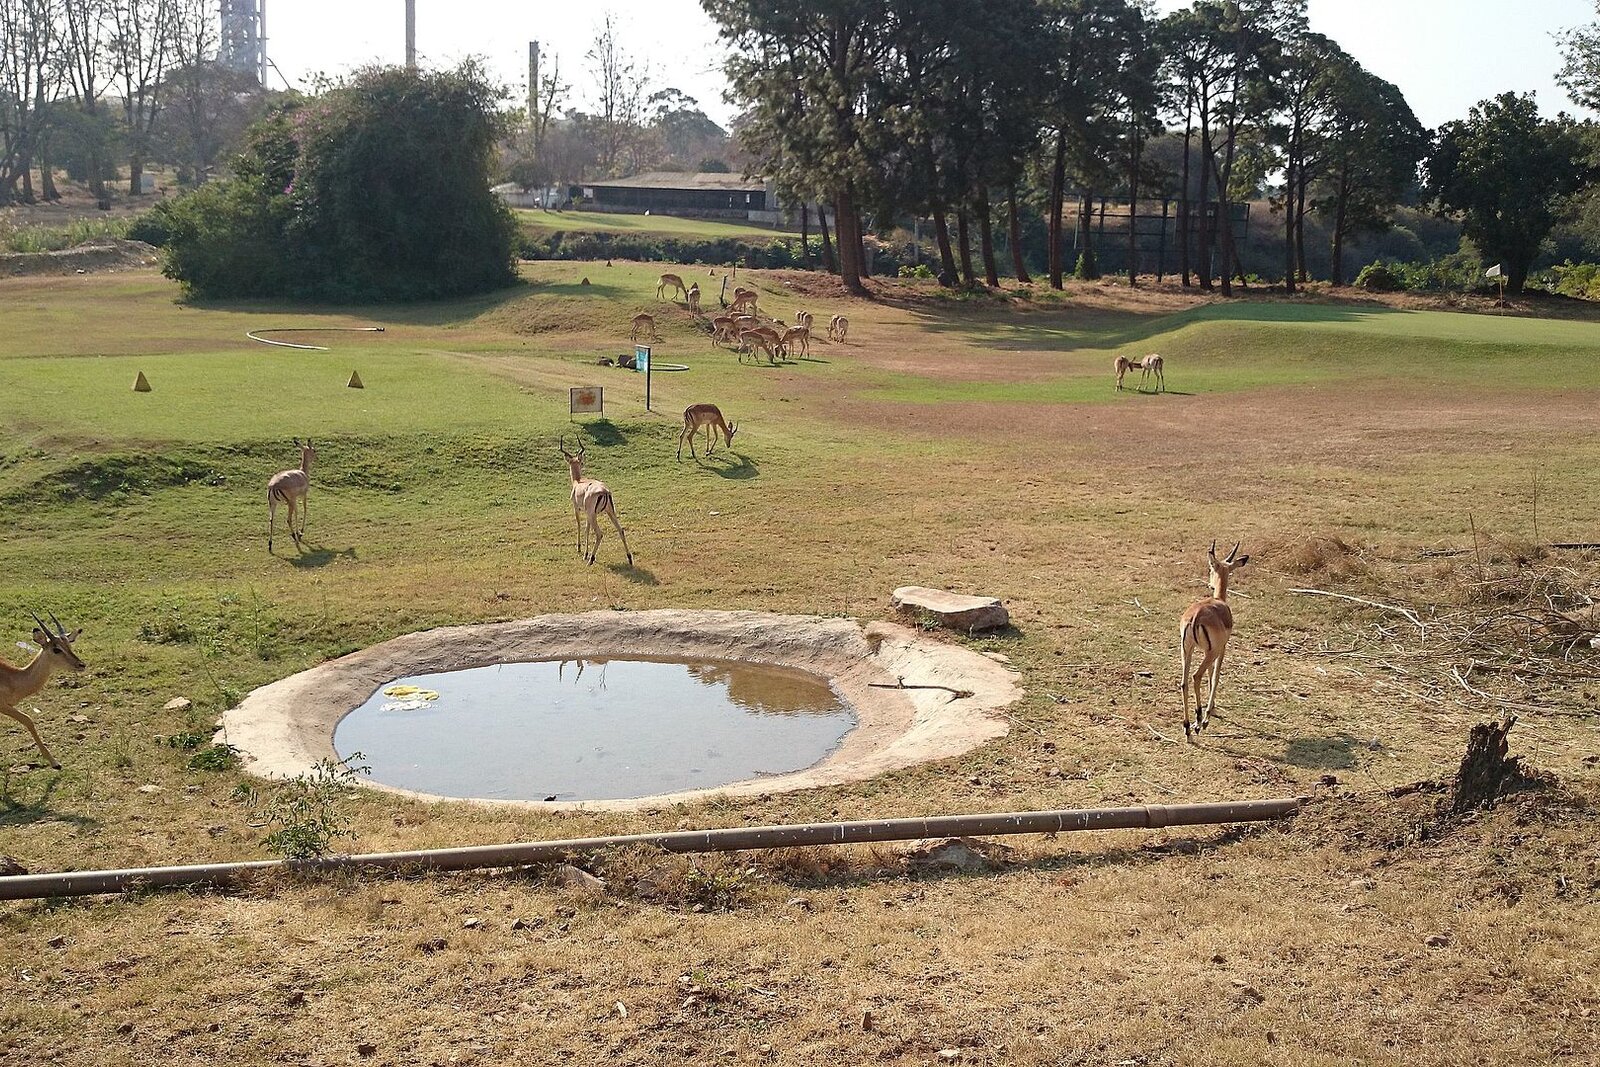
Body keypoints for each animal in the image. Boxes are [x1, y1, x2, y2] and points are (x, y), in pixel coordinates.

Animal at [1, 612, 84, 769]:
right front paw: (55, 762)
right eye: (56, 649)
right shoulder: (3, 706)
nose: (81, 664)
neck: (13, 678)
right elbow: (28, 720)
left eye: (68, 644)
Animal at [559, 437, 634, 567]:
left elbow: (579, 525)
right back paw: (629, 558)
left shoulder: (577, 508)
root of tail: (605, 491)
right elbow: (587, 530)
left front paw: (580, 549)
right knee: (621, 530)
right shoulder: (588, 513)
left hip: (594, 515)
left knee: (599, 534)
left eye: (581, 462)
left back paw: (591, 559)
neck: (578, 482)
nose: (583, 464)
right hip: (610, 512)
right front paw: (585, 553)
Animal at [1178, 541, 1251, 742]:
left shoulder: (1204, 650)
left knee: (1184, 682)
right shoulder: (1221, 649)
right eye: (1211, 568)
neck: (1219, 601)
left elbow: (1211, 675)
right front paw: (1208, 714)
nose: (1210, 585)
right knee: (1196, 676)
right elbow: (1216, 676)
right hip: (1210, 652)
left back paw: (1187, 727)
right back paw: (1199, 721)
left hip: (1187, 650)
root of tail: (1196, 616)